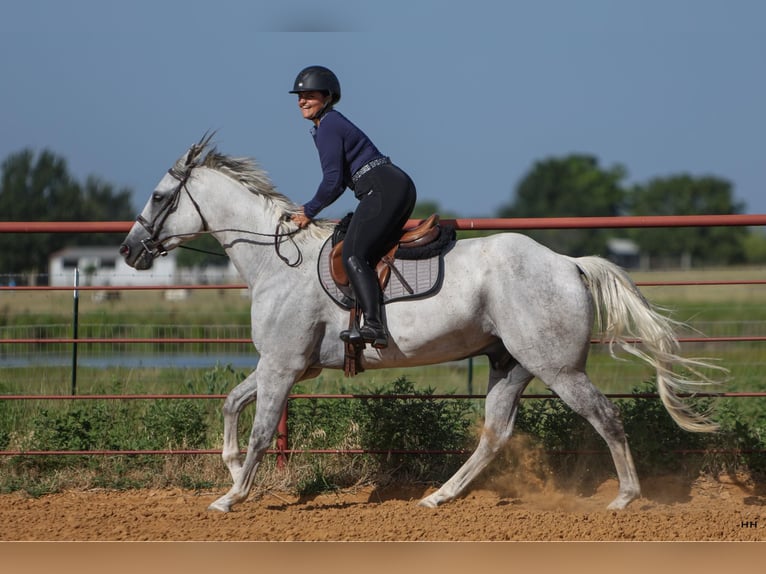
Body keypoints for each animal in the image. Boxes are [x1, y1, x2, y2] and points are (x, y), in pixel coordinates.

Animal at [120, 135, 724, 513]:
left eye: (158, 196)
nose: (129, 251)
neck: (275, 261)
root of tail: (569, 264)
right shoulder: (283, 366)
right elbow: (230, 405)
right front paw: (228, 472)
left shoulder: (283, 367)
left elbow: (262, 432)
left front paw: (231, 497)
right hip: (510, 365)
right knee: (495, 434)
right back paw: (438, 497)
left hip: (559, 368)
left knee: (604, 417)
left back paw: (625, 498)